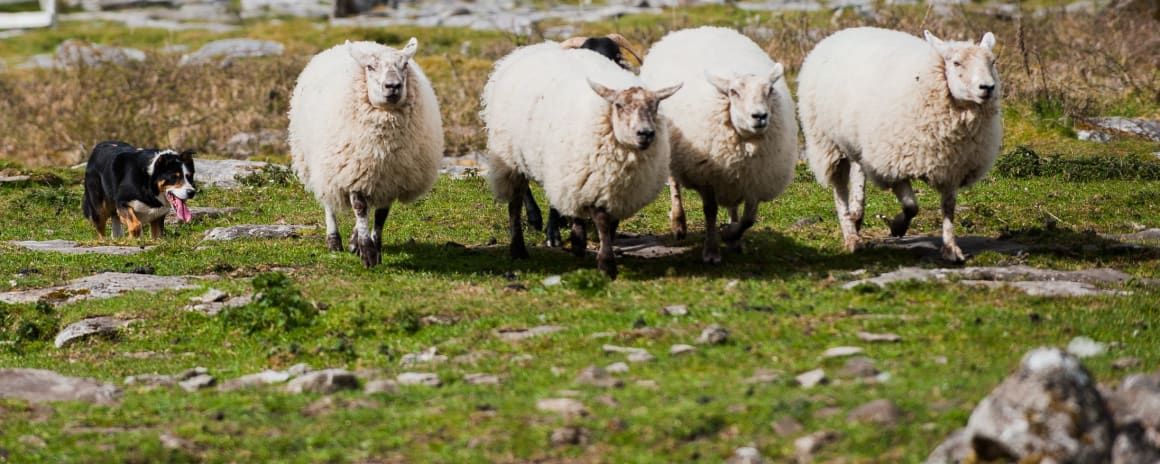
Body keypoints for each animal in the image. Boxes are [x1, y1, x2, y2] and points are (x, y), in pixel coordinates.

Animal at [288, 38, 443, 267]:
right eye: (370, 67)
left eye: (405, 65)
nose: (393, 86)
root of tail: (364, 42)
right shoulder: (351, 170)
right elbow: (360, 208)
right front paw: (367, 252)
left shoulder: (391, 178)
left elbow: (380, 215)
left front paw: (372, 247)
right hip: (321, 164)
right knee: (328, 202)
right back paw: (334, 241)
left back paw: (353, 242)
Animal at [481, 42, 681, 279]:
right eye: (619, 106)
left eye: (655, 106)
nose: (646, 133)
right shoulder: (586, 179)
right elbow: (601, 222)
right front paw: (606, 265)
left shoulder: (611, 188)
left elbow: (609, 224)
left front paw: (587, 246)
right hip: (511, 159)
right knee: (515, 203)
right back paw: (519, 248)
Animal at [638, 26, 798, 264]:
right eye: (733, 92)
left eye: (769, 90)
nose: (760, 116)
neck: (746, 144)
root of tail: (695, 28)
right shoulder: (707, 177)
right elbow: (710, 211)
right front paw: (712, 250)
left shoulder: (755, 179)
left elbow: (749, 218)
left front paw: (732, 235)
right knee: (674, 184)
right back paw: (678, 223)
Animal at [798, 27, 1002, 263]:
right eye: (956, 63)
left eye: (993, 62)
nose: (987, 87)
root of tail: (843, 31)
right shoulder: (892, 164)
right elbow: (911, 206)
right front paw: (897, 226)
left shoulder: (953, 166)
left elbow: (948, 207)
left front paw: (951, 248)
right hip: (826, 142)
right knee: (839, 187)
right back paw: (851, 236)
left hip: (860, 140)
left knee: (858, 169)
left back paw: (857, 215)